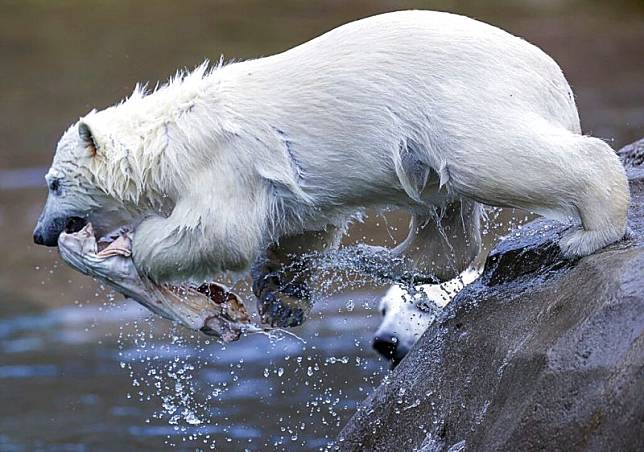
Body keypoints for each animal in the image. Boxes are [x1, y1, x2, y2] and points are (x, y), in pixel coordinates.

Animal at [31, 11, 628, 328]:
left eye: (54, 183)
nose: (40, 233)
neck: (172, 135)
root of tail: (556, 80)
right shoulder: (285, 183)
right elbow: (300, 227)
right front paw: (281, 296)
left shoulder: (224, 161)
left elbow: (220, 229)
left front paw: (139, 249)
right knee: (445, 220)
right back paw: (378, 257)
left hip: (461, 101)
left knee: (493, 160)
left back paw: (589, 233)